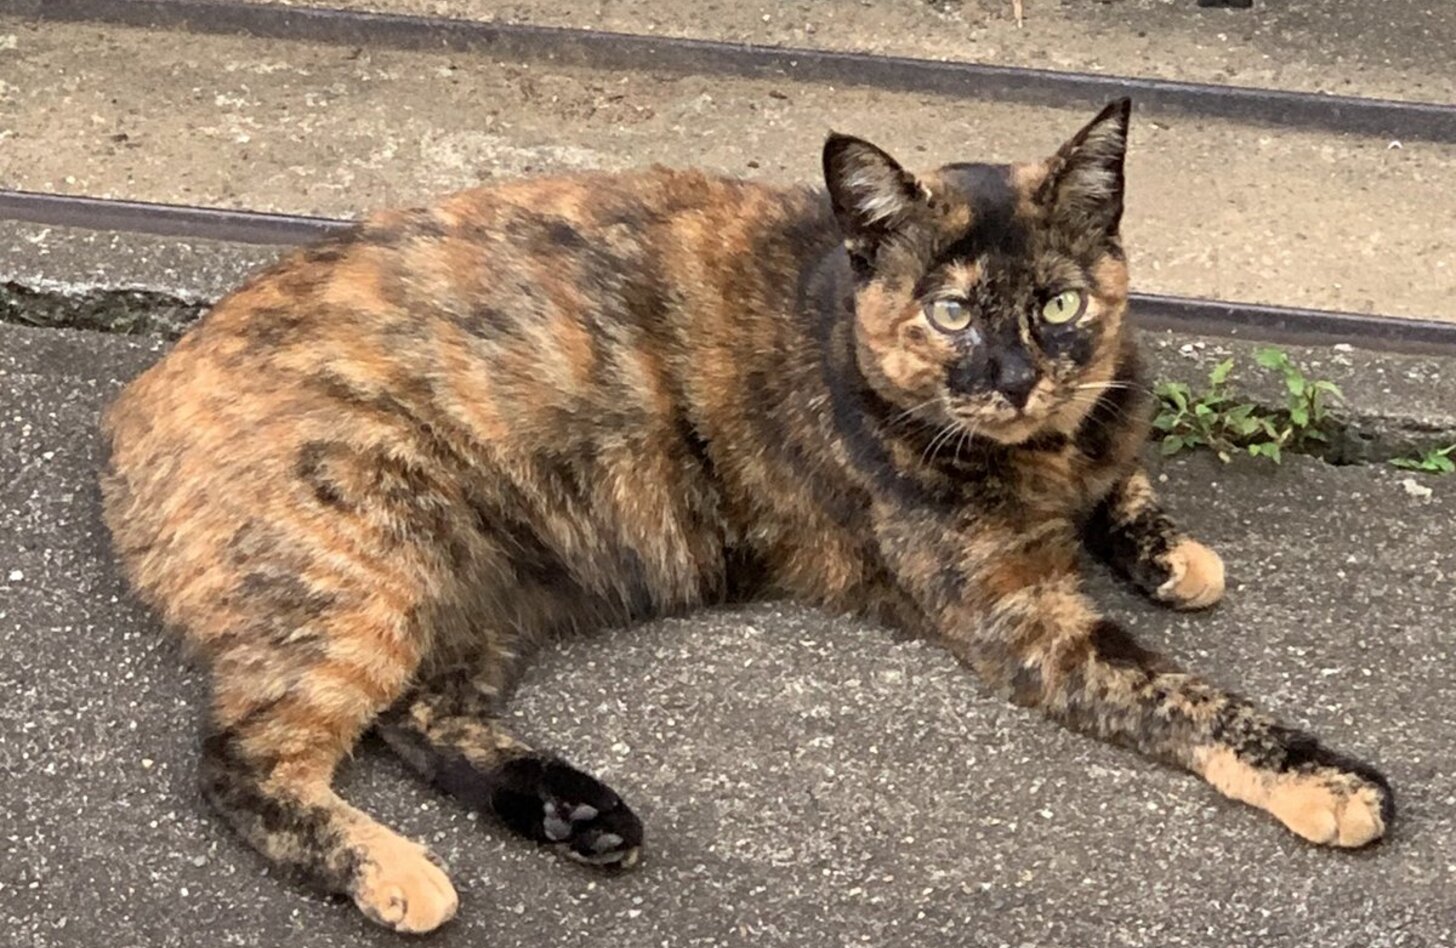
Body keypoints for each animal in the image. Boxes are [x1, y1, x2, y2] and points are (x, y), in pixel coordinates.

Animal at [100, 99, 1391, 934]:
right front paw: (1327, 781)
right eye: (950, 311)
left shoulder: (1098, 440)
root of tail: (132, 408)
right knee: (242, 760)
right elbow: (1187, 698)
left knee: (418, 718)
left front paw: (1170, 550)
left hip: (482, 590)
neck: (1043, 453)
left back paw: (580, 815)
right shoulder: (1025, 619)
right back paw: (392, 874)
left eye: (1060, 303)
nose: (1016, 378)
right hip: (364, 579)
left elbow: (1131, 485)